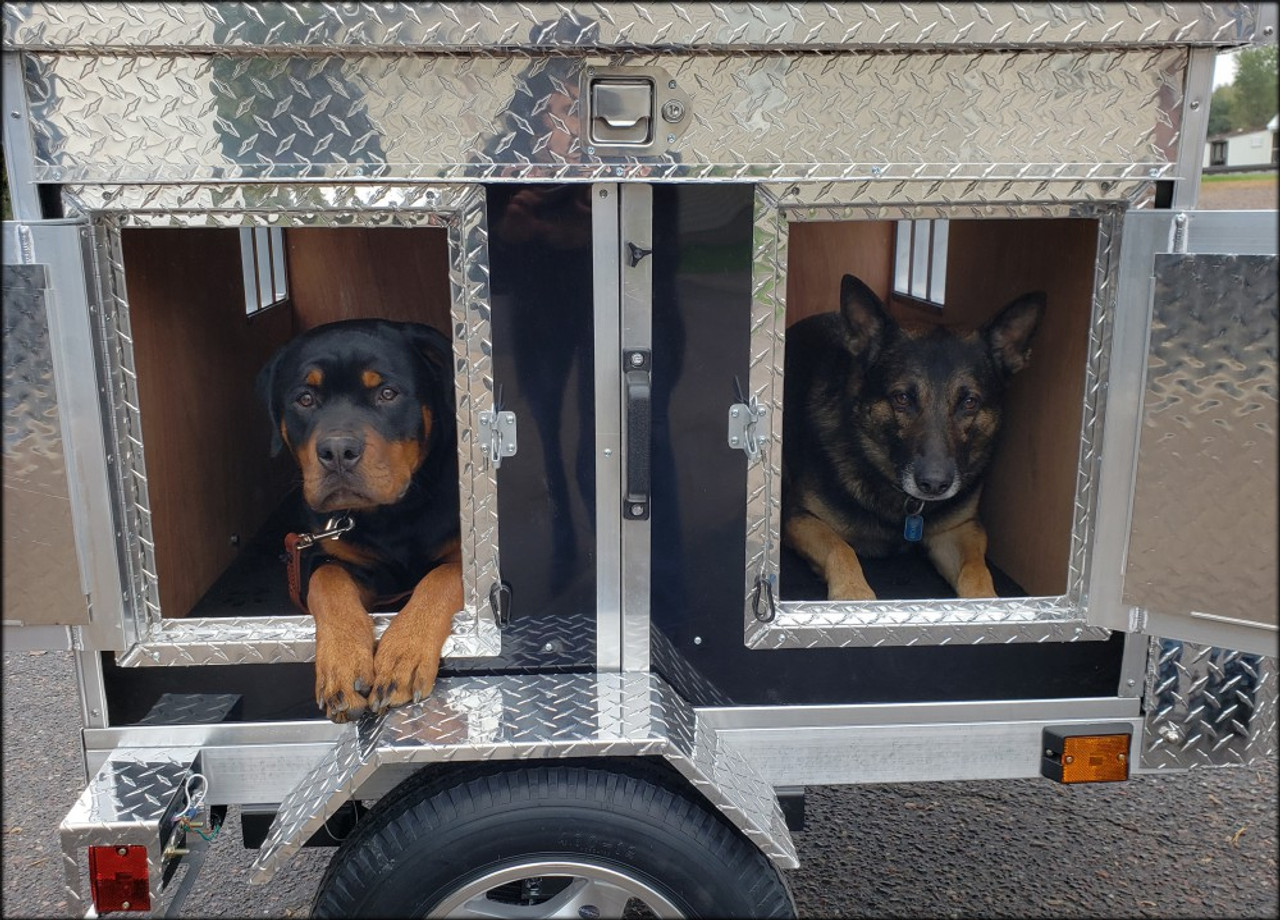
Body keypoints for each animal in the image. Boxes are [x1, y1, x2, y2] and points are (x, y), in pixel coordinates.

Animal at [778, 277, 1039, 601]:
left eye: (969, 402)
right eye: (902, 398)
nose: (935, 485)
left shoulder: (959, 531)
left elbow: (977, 570)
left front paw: (987, 601)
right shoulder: (800, 519)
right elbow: (841, 549)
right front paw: (853, 593)